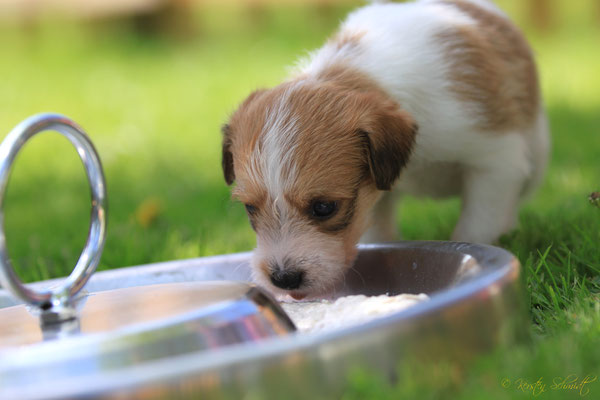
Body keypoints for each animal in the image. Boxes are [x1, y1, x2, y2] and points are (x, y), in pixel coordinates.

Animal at [219, 0, 548, 298]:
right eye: (250, 208)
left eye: (324, 207)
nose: (283, 279)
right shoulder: (374, 198)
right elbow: (380, 232)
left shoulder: (494, 162)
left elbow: (477, 227)